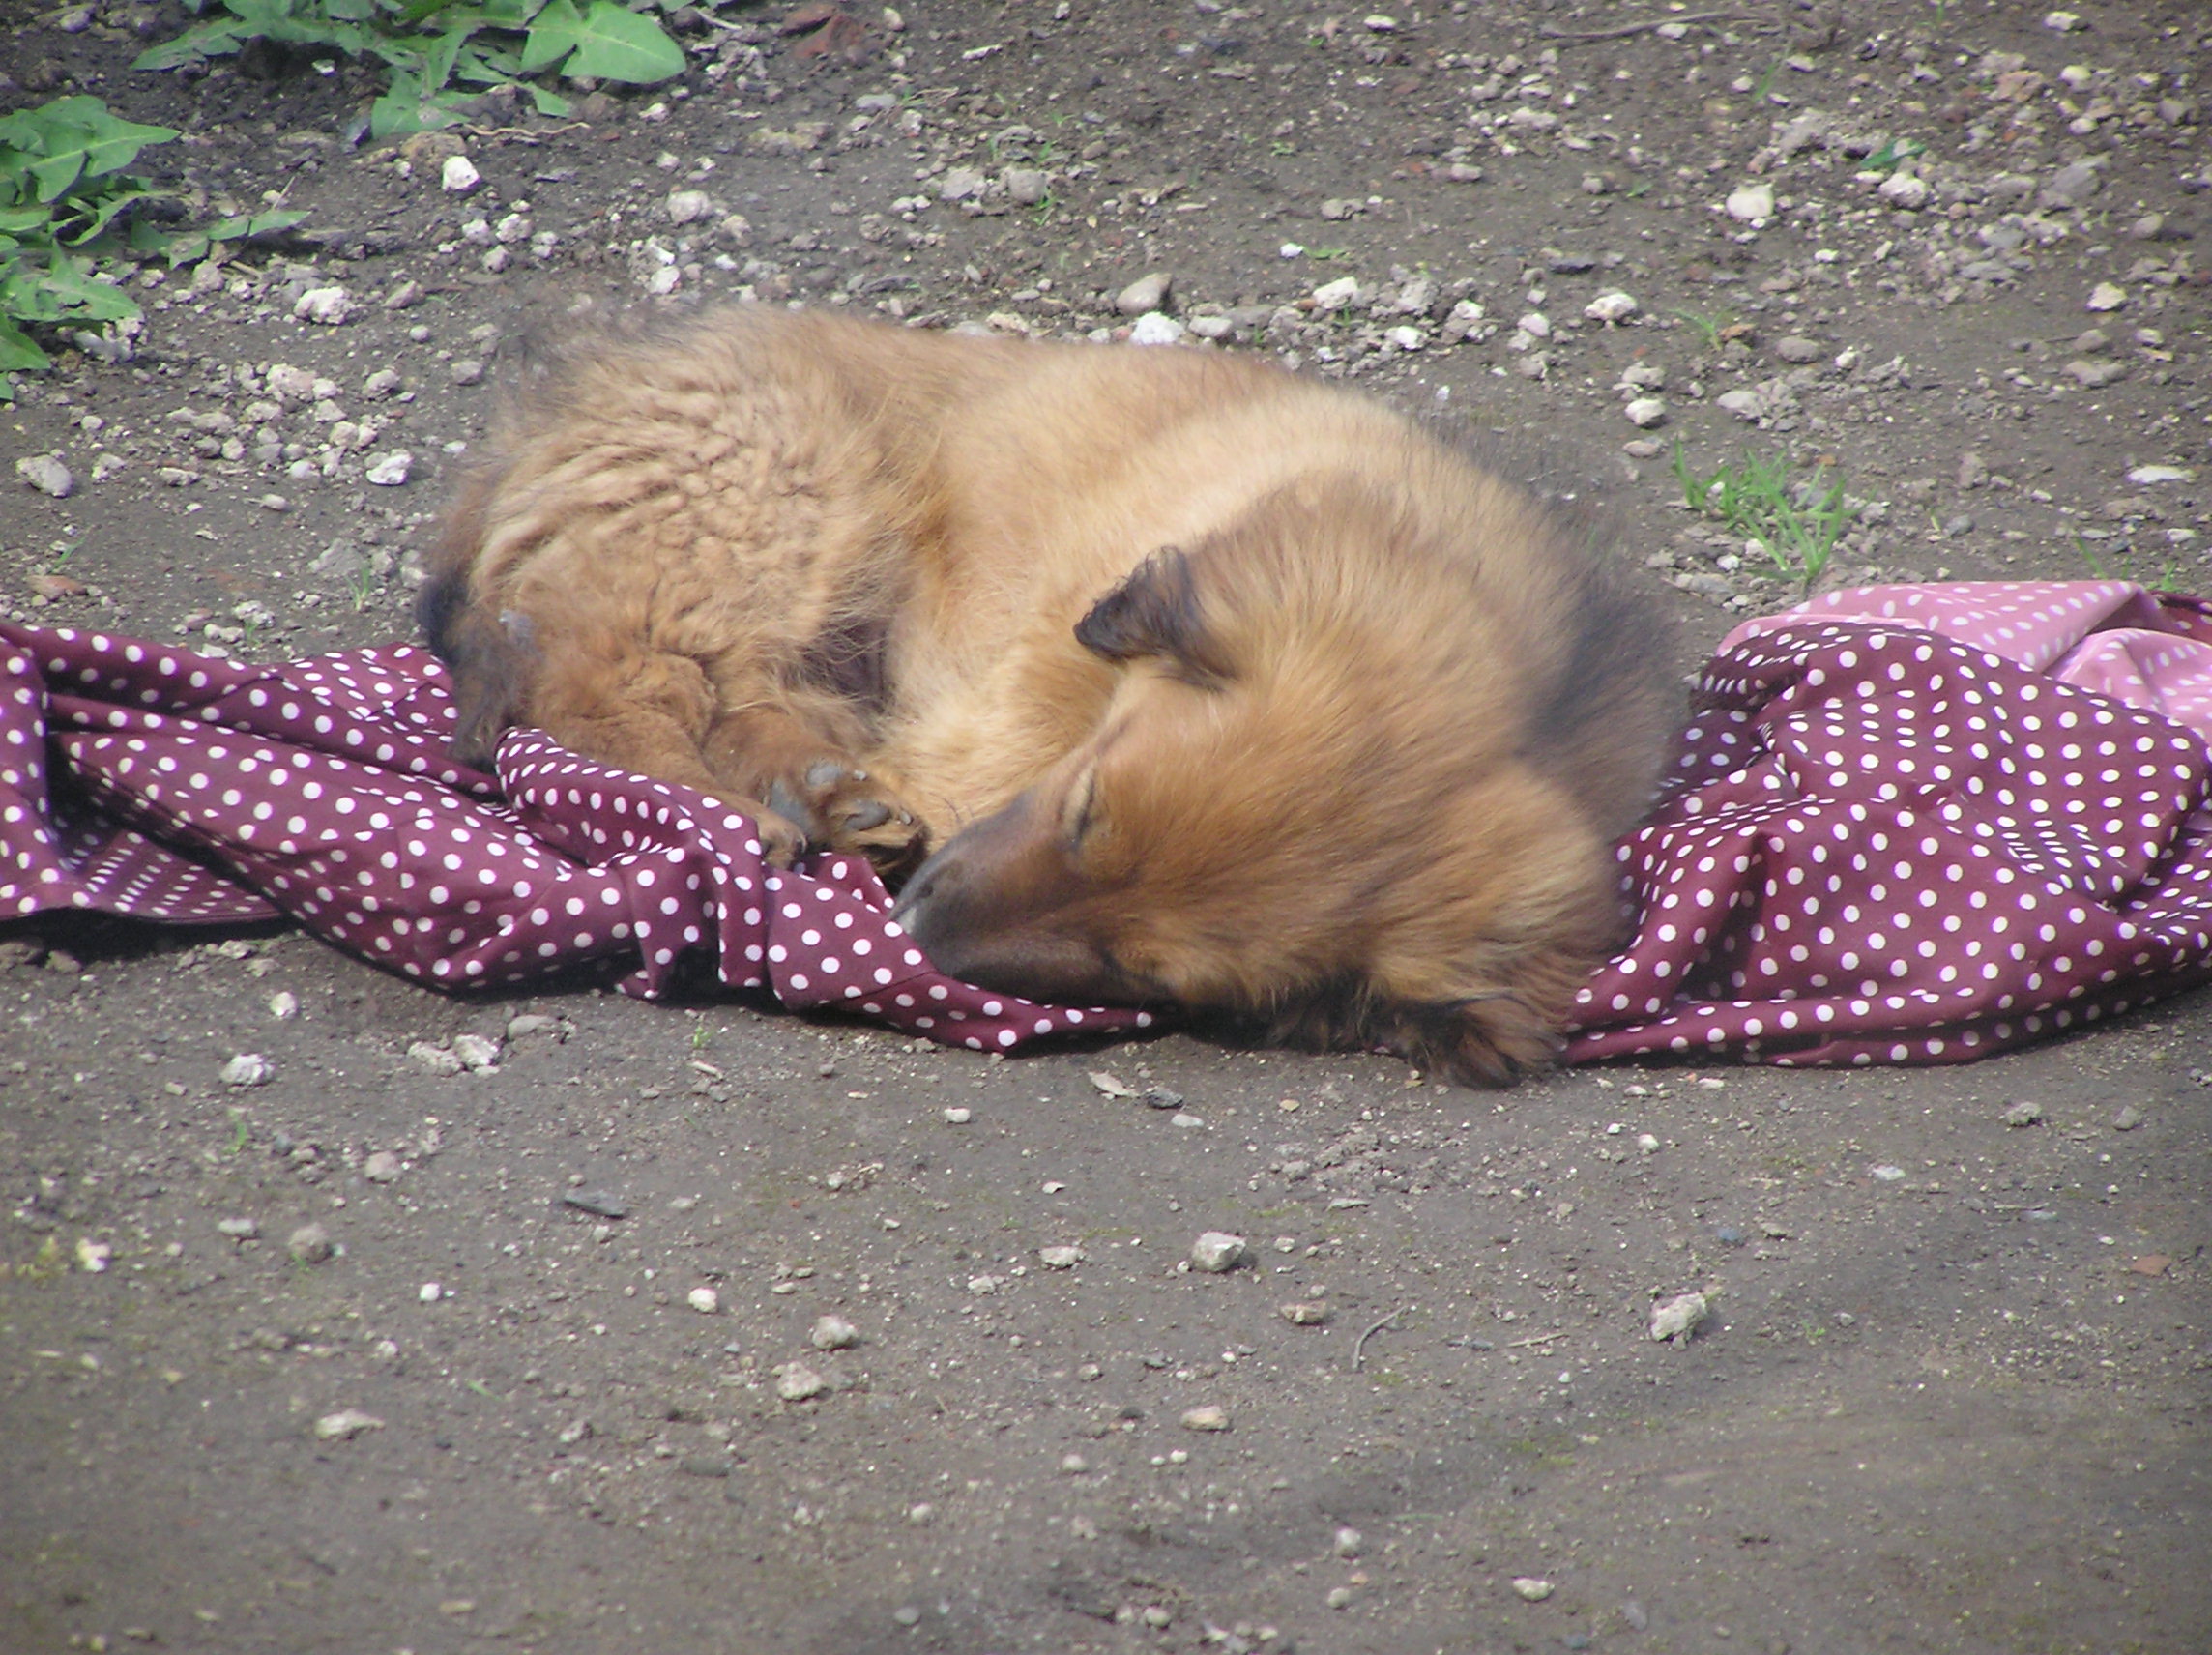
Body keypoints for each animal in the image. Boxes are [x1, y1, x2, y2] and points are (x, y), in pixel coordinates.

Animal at [416, 307, 1663, 1084]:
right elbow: (977, 751)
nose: (916, 923)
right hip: (785, 493)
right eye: (1083, 808)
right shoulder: (1026, 660)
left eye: (1142, 971)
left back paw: (820, 786)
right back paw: (750, 805)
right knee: (597, 673)